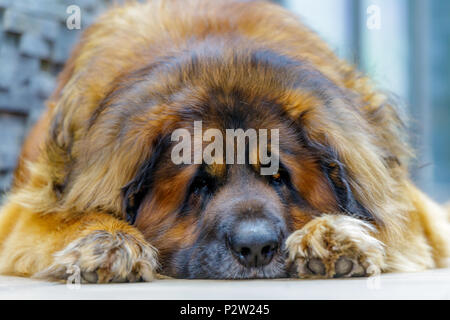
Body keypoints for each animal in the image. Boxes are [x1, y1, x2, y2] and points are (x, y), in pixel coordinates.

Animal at [0, 0, 450, 282]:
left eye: (280, 177)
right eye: (198, 184)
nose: (256, 248)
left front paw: (330, 237)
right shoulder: (27, 210)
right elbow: (67, 217)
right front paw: (107, 242)